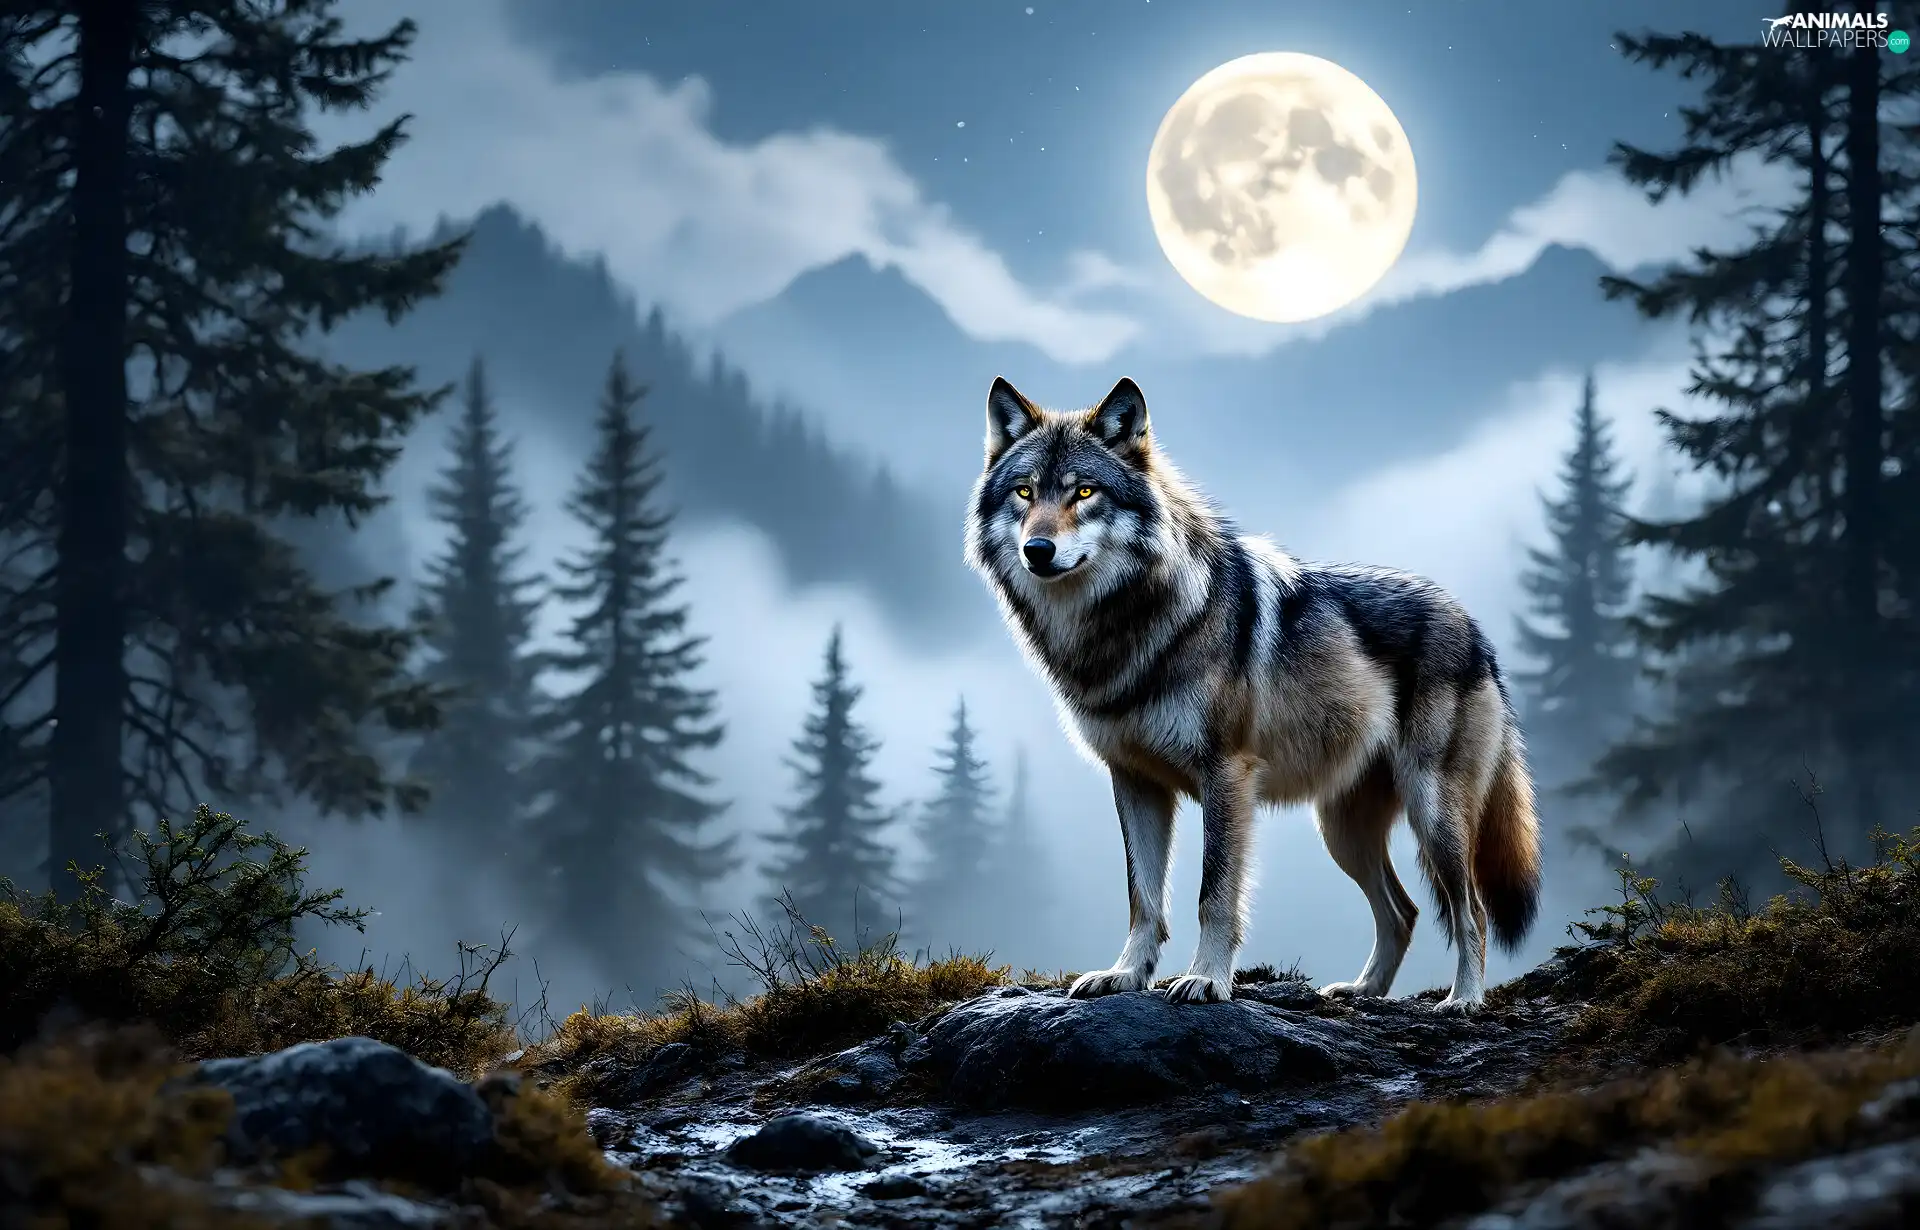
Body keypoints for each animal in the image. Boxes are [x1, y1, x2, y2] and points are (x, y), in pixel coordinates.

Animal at [963, 376, 1542, 1013]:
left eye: (1084, 492)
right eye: (1025, 492)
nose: (1037, 550)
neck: (1127, 627)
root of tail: (1474, 628)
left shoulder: (1227, 775)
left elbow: (1213, 893)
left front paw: (1206, 980)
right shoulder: (1134, 781)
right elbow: (1143, 898)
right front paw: (1125, 975)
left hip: (1433, 814)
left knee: (1472, 911)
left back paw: (1463, 999)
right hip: (1342, 832)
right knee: (1404, 912)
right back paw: (1361, 991)